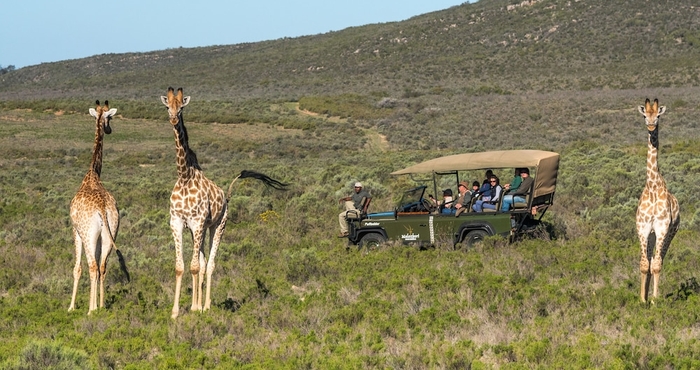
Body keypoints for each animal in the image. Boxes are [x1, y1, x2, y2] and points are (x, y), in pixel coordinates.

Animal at [68, 99, 130, 314]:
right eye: (108, 117)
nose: (109, 129)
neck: (93, 173)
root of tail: (102, 208)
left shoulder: (76, 231)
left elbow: (77, 269)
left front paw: (71, 307)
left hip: (89, 234)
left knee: (93, 267)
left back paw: (91, 310)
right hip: (109, 232)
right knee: (102, 266)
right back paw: (101, 307)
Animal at [161, 86, 288, 318]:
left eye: (182, 107)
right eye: (167, 107)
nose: (173, 119)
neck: (184, 177)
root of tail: (226, 197)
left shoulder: (198, 223)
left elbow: (194, 267)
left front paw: (195, 308)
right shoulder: (177, 222)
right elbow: (181, 266)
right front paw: (175, 313)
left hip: (218, 226)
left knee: (209, 264)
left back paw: (205, 306)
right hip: (201, 230)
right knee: (202, 264)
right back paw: (199, 304)